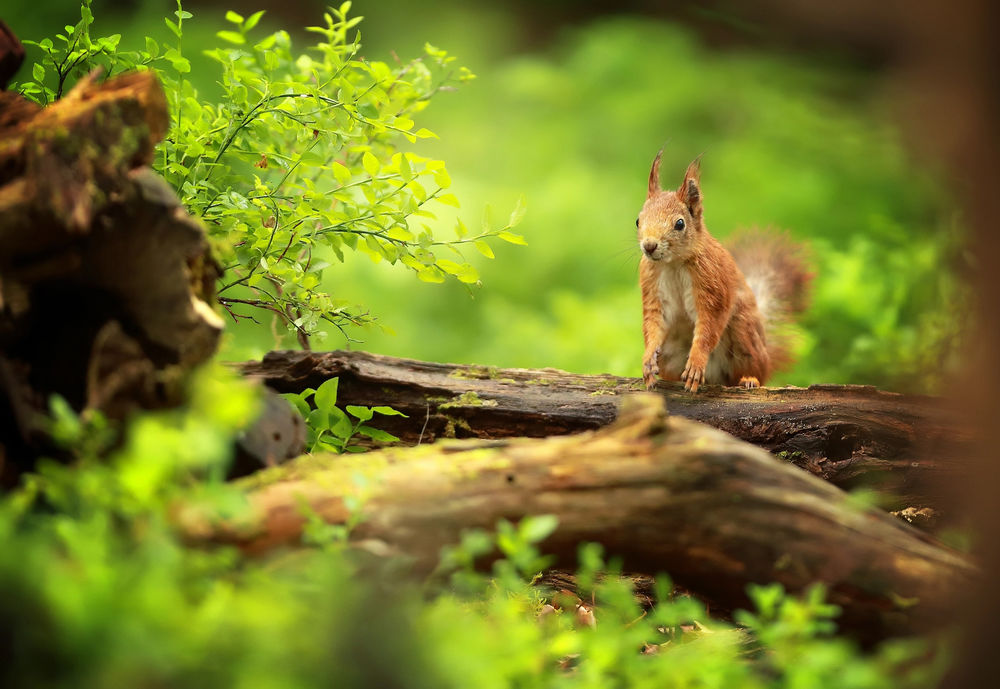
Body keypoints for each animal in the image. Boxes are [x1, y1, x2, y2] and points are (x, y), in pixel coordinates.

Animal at [637, 151, 811, 392]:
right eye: (638, 221)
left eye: (680, 224)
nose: (649, 246)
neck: (674, 263)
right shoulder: (652, 285)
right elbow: (653, 324)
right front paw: (647, 361)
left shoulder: (713, 284)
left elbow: (708, 327)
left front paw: (696, 362)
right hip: (671, 353)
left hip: (744, 333)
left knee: (752, 370)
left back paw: (749, 379)